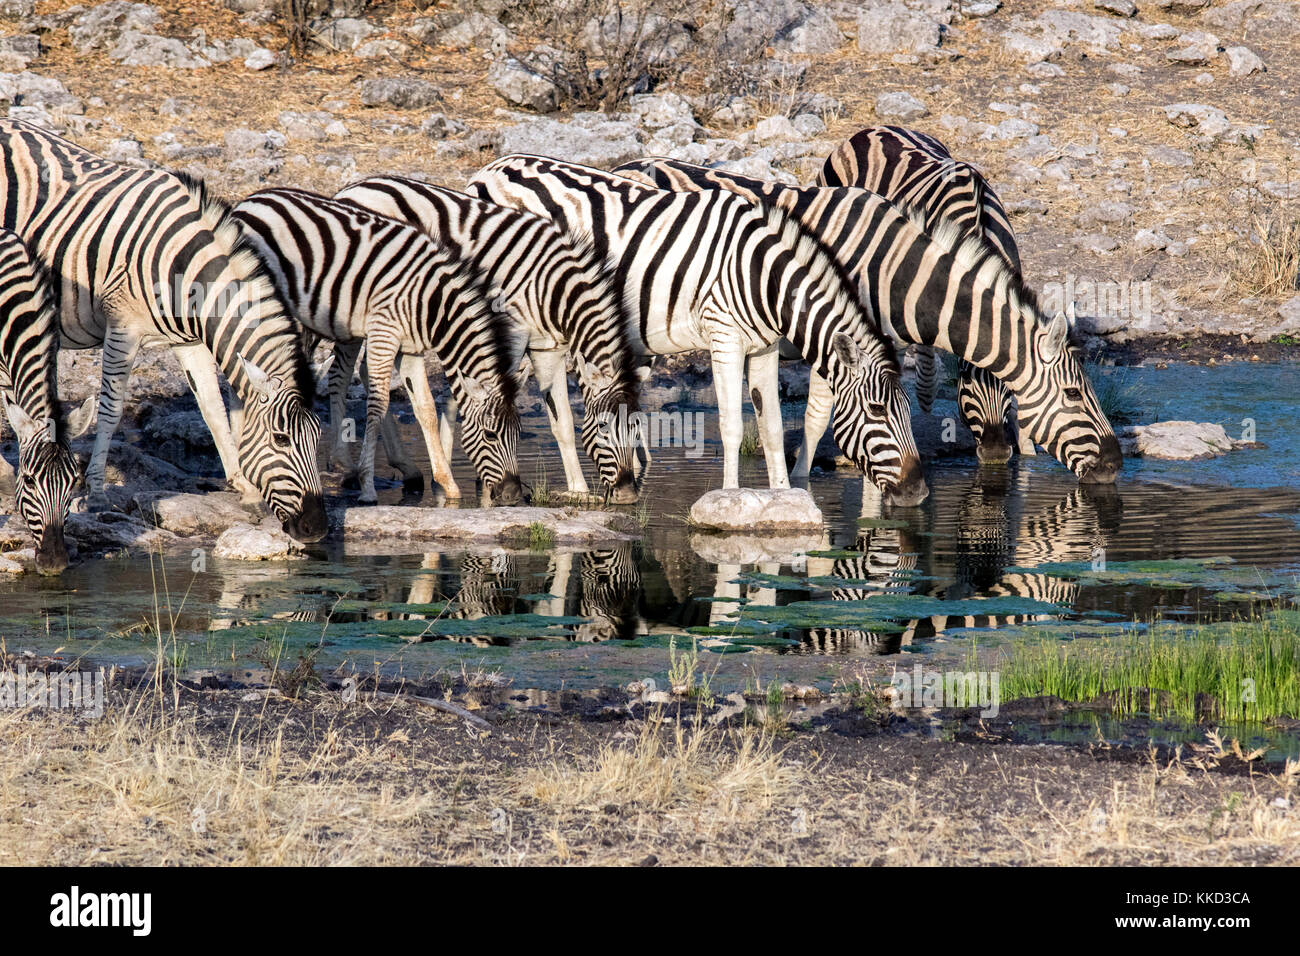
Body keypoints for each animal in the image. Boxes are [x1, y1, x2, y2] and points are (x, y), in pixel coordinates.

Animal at [231, 187, 525, 506]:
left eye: (518, 433)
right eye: (490, 435)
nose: (513, 495)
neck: (431, 304)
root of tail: (249, 201)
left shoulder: (410, 348)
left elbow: (426, 408)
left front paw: (448, 485)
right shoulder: (385, 333)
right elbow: (378, 405)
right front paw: (367, 486)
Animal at [333, 176, 647, 504]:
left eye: (637, 428)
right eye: (603, 427)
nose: (628, 495)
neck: (554, 289)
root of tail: (354, 188)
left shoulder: (548, 348)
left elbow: (563, 421)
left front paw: (579, 491)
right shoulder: (511, 333)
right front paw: (480, 485)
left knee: (366, 371)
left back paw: (406, 467)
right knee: (342, 371)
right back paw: (346, 465)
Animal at [467, 155, 928, 506]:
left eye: (907, 411)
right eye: (877, 411)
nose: (919, 493)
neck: (763, 276)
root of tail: (488, 170)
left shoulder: (764, 346)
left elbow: (771, 426)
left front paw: (784, 496)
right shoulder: (725, 338)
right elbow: (732, 425)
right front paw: (731, 496)